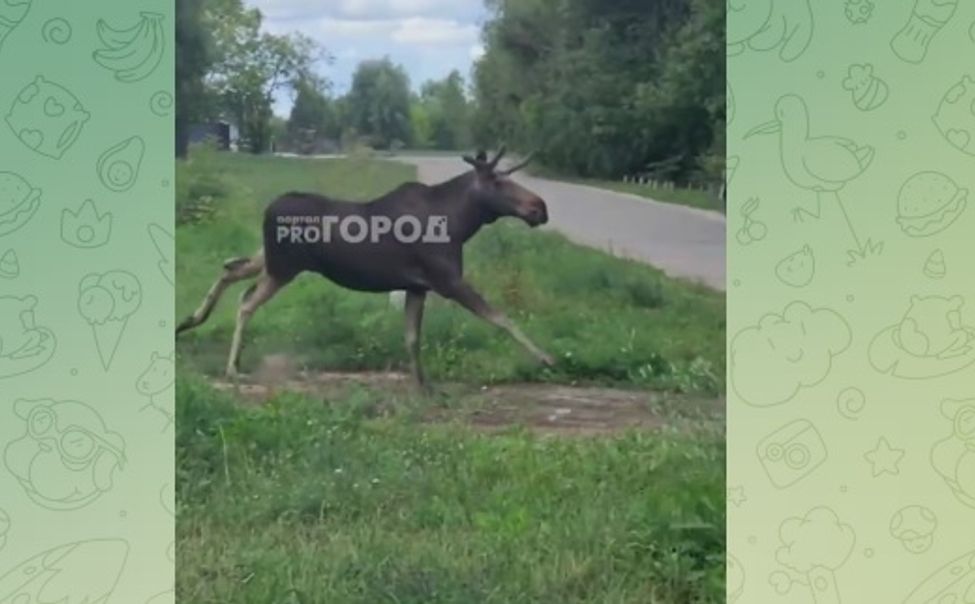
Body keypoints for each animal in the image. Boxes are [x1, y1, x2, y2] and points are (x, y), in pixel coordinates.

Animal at [177, 149, 556, 390]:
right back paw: (231, 367)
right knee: (246, 299)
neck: (462, 223)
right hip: (283, 267)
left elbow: (412, 338)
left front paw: (423, 384)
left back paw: (190, 321)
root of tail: (268, 209)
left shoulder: (418, 286)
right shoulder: (447, 281)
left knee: (230, 269)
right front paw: (546, 358)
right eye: (497, 182)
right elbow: (501, 318)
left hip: (270, 259)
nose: (541, 208)